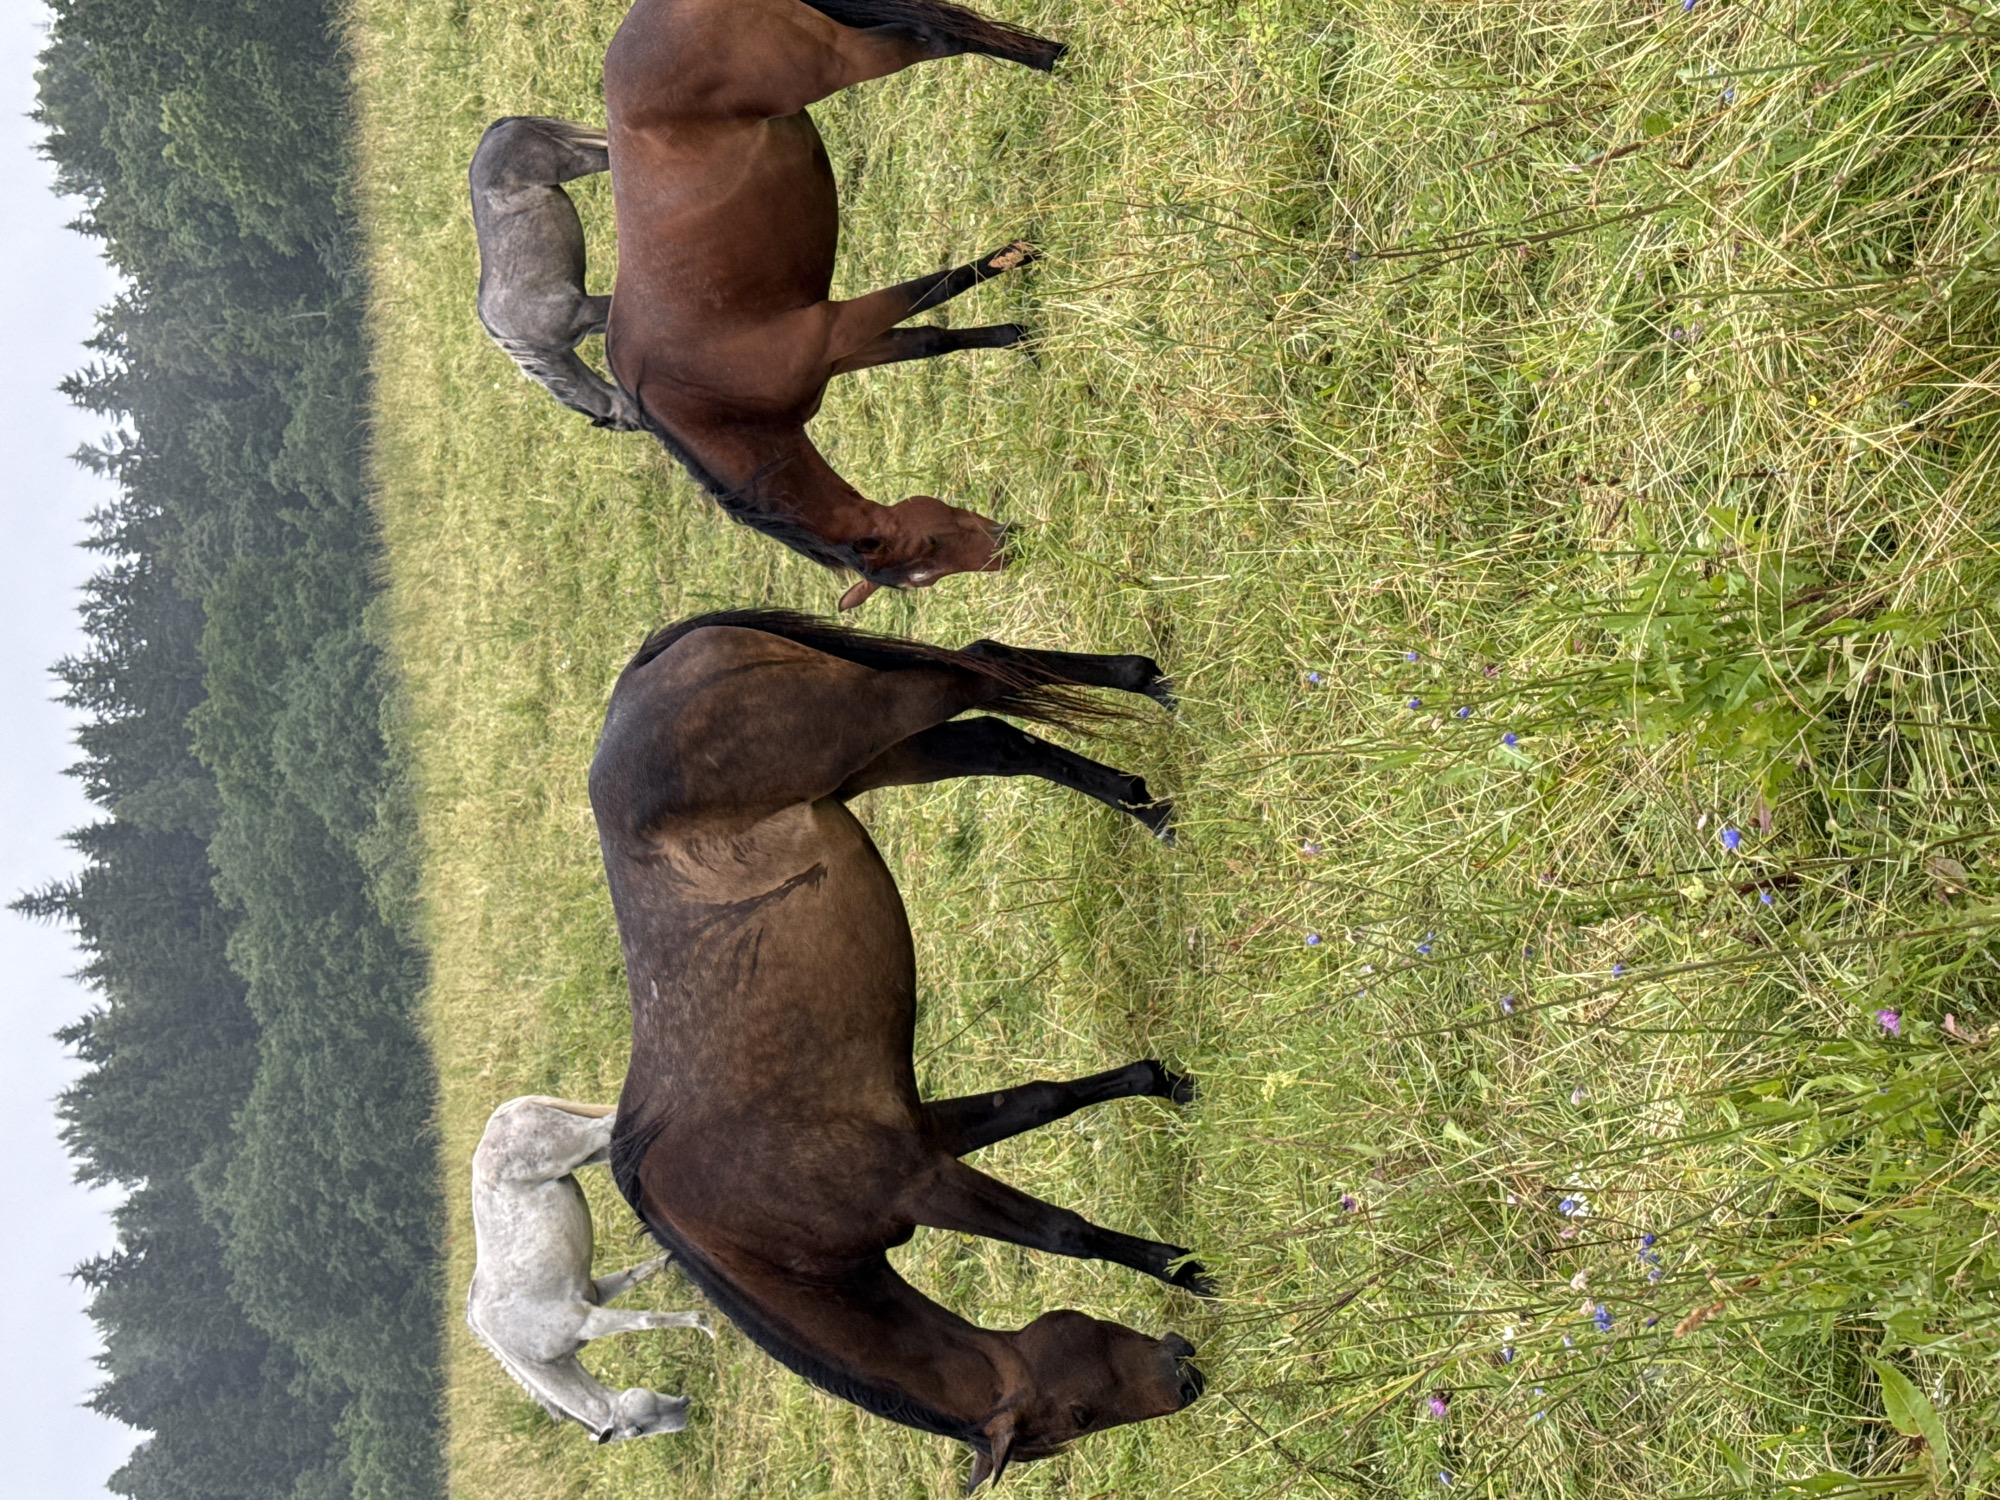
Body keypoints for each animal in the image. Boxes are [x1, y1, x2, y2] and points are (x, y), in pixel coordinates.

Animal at [466, 1095, 713, 1443]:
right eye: (637, 1431)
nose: (685, 1411)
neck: (528, 1351)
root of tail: (502, 1116)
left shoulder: (590, 1321)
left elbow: (644, 1321)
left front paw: (702, 1322)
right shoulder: (595, 1293)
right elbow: (638, 1274)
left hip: (585, 1141)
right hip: (592, 1150)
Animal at [469, 116, 644, 431]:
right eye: (630, 425)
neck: (531, 343)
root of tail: (496, 131)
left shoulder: (585, 309)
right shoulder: (591, 320)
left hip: (577, 160)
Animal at [590, 610, 1207, 1490]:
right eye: (1082, 1416)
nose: (1184, 1376)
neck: (751, 1229)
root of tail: (642, 675)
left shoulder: (921, 1181)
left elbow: (1064, 1232)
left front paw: (1186, 1267)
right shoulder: (926, 1136)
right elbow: (1047, 1105)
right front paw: (1168, 1088)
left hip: (873, 717)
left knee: (977, 671)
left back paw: (1145, 693)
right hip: (886, 755)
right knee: (995, 735)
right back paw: (1144, 795)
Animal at [602, 0, 1064, 611]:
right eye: (929, 557)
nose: (1010, 548)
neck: (705, 398)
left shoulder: (836, 325)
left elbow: (933, 289)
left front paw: (1019, 255)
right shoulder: (839, 353)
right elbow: (930, 339)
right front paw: (1018, 334)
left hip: (844, 60)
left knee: (934, 37)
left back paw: (1050, 60)